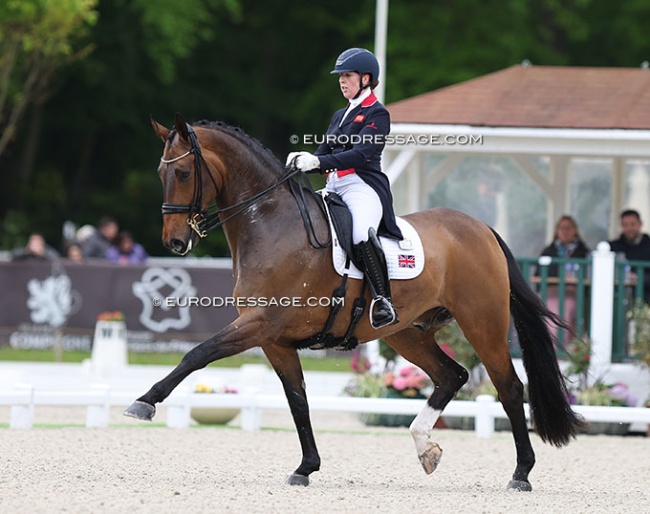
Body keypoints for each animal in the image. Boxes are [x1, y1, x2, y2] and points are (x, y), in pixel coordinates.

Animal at [124, 112, 580, 488]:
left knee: (509, 387)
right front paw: (306, 467)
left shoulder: (259, 324)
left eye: (184, 172)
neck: (270, 224)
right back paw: (425, 447)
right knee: (451, 375)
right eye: (161, 172)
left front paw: (143, 403)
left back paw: (521, 473)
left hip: (481, 323)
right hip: (406, 332)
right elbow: (297, 399)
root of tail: (481, 228)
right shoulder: (274, 340)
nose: (175, 242)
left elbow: (196, 354)